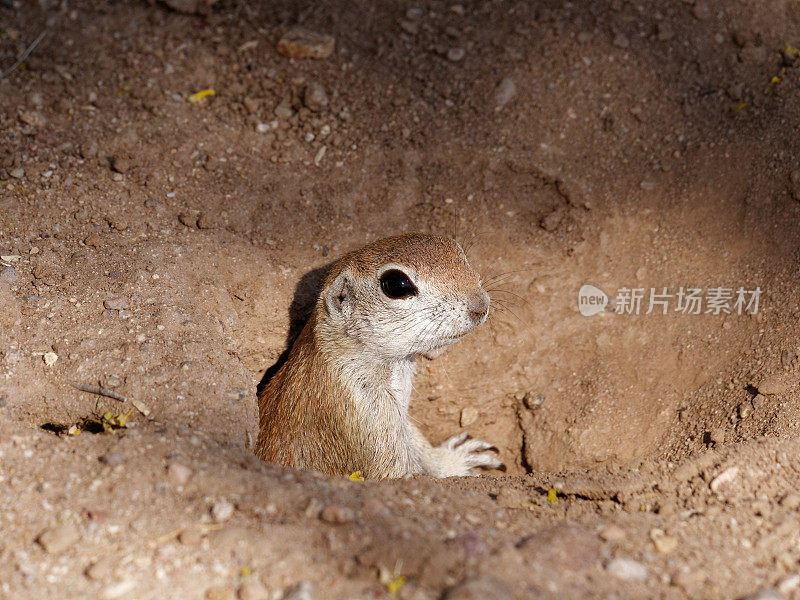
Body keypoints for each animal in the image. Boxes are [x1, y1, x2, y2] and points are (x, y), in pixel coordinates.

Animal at [256, 233, 504, 478]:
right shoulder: (368, 416)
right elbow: (399, 472)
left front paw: (452, 460)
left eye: (458, 250)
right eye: (397, 284)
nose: (480, 305)